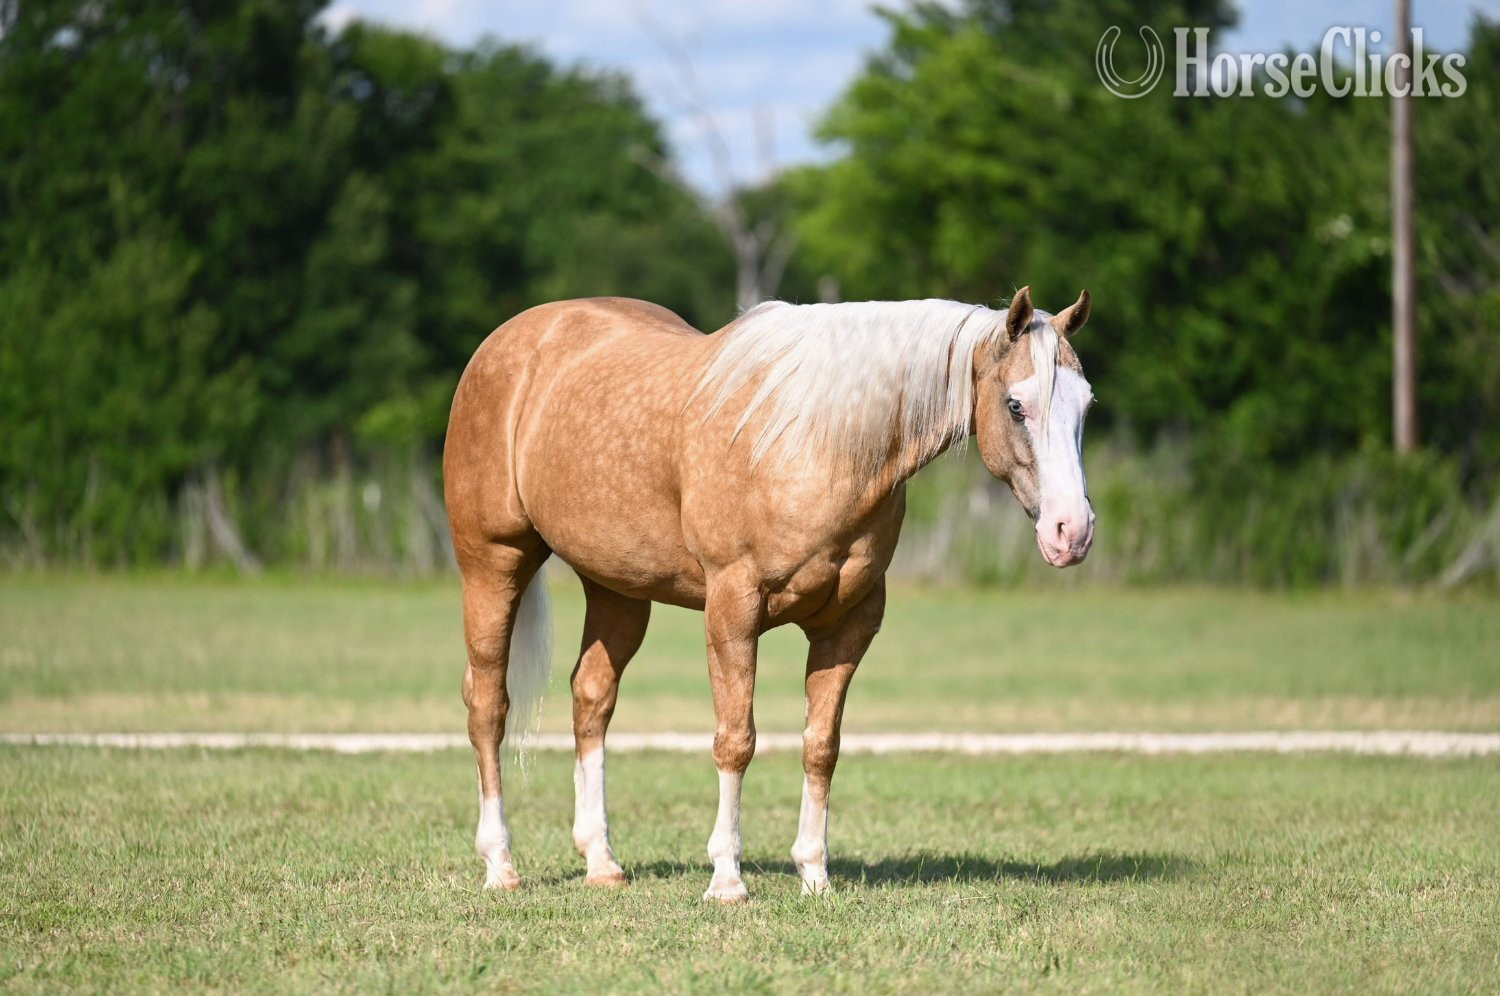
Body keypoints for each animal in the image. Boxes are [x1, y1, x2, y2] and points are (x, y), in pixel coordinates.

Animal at [442, 286, 1094, 901]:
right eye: (1016, 404)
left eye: (1085, 404)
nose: (1072, 531)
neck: (815, 442)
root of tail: (511, 342)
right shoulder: (733, 610)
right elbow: (736, 741)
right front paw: (727, 879)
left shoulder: (848, 625)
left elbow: (821, 745)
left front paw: (814, 873)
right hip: (493, 564)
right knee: (488, 705)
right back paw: (500, 865)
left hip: (616, 588)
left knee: (591, 699)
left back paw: (601, 862)